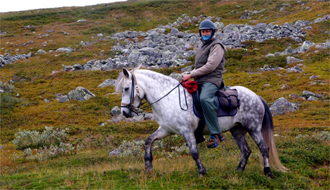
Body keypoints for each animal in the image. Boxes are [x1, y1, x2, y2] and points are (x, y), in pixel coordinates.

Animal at [115, 67, 286, 177]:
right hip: (237, 130)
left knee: (264, 148)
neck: (168, 98)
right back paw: (239, 170)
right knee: (246, 150)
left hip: (253, 128)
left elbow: (194, 152)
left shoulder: (187, 131)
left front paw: (202, 172)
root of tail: (256, 96)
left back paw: (267, 172)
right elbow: (148, 141)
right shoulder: (166, 129)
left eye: (125, 88)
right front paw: (148, 166)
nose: (124, 113)